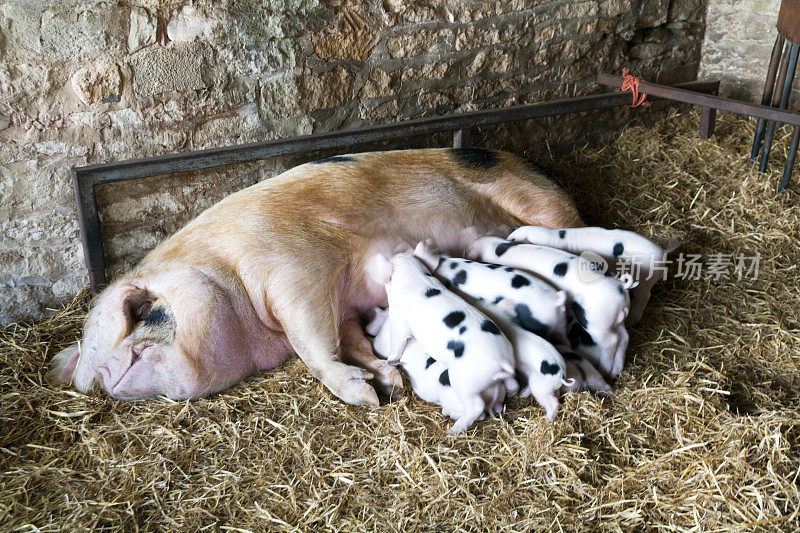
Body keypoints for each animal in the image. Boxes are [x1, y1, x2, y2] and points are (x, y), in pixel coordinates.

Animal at [50, 148, 584, 406]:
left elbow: (312, 344)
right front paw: (389, 380)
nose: (99, 374)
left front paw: (365, 398)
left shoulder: (296, 272)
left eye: (142, 312)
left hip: (539, 200)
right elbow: (350, 341)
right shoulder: (344, 304)